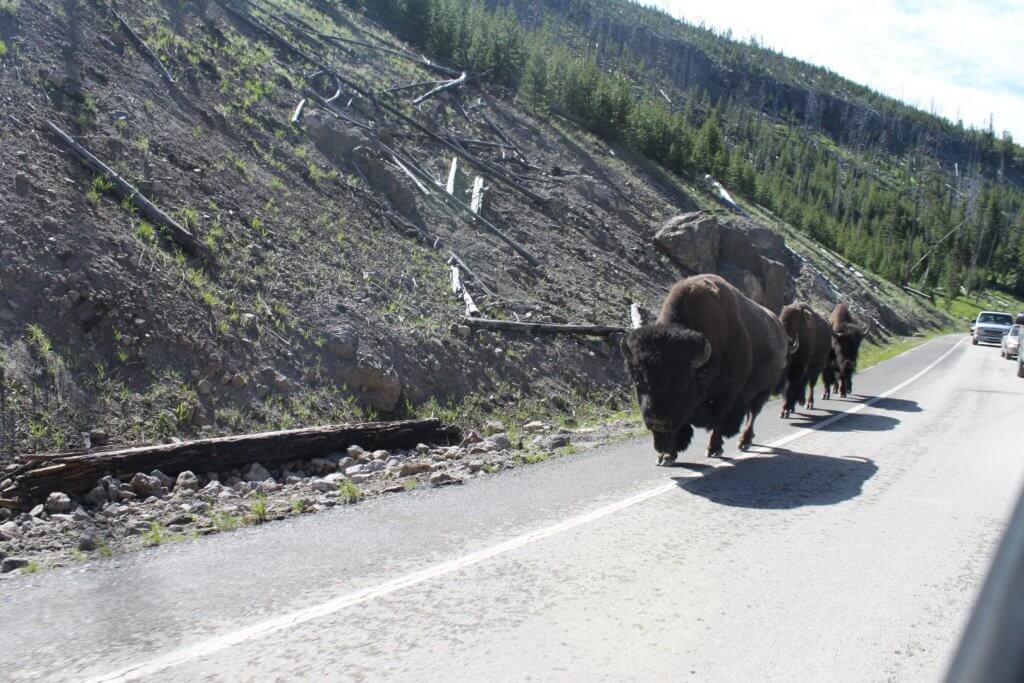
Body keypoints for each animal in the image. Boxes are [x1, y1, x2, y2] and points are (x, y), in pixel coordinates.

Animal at [614, 274, 790, 464]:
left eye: (681, 384)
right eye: (638, 382)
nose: (658, 421)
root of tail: (780, 329)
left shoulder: (726, 397)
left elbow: (718, 422)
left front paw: (713, 449)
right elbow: (678, 428)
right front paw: (665, 457)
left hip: (763, 390)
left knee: (752, 414)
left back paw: (744, 442)